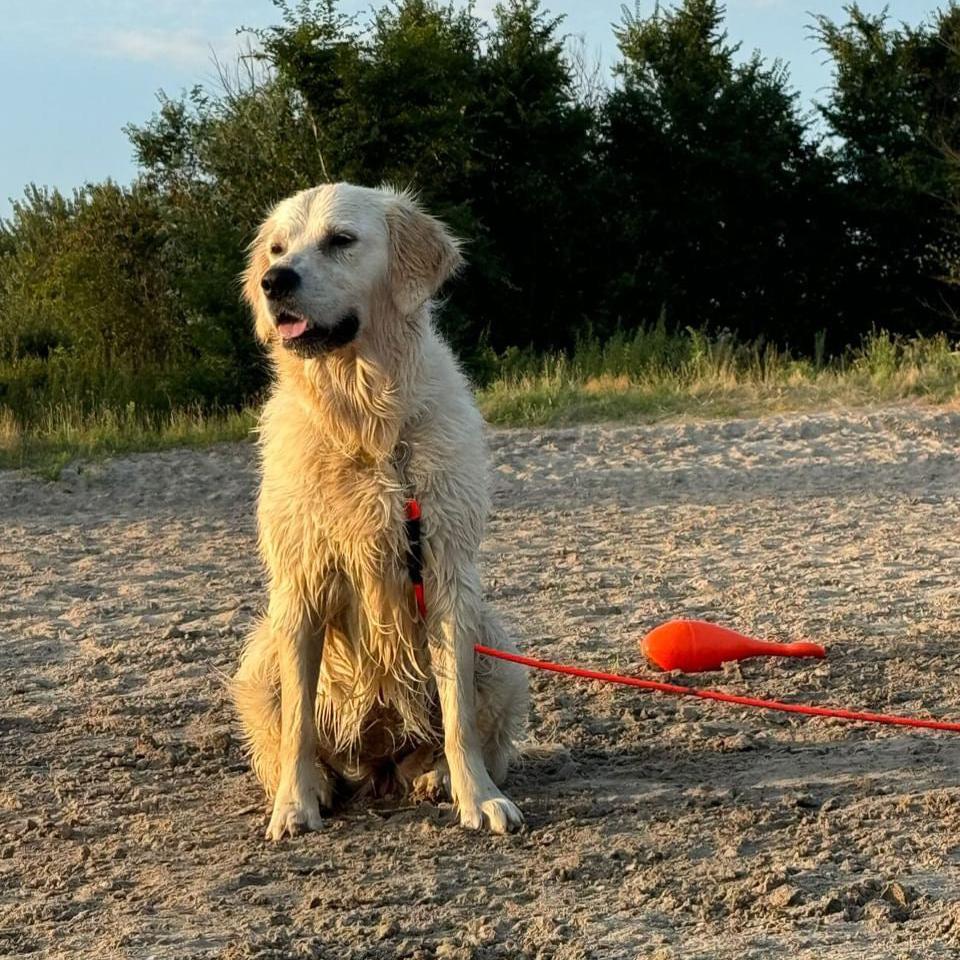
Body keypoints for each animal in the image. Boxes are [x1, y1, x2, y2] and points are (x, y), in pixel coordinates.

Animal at [234, 182, 532, 840]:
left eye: (341, 240)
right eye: (277, 247)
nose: (273, 281)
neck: (365, 420)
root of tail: (378, 764)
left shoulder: (445, 572)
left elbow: (459, 715)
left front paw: (479, 797)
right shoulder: (300, 582)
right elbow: (297, 724)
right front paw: (294, 805)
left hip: (498, 651)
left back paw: (436, 775)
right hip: (261, 654)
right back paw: (320, 783)